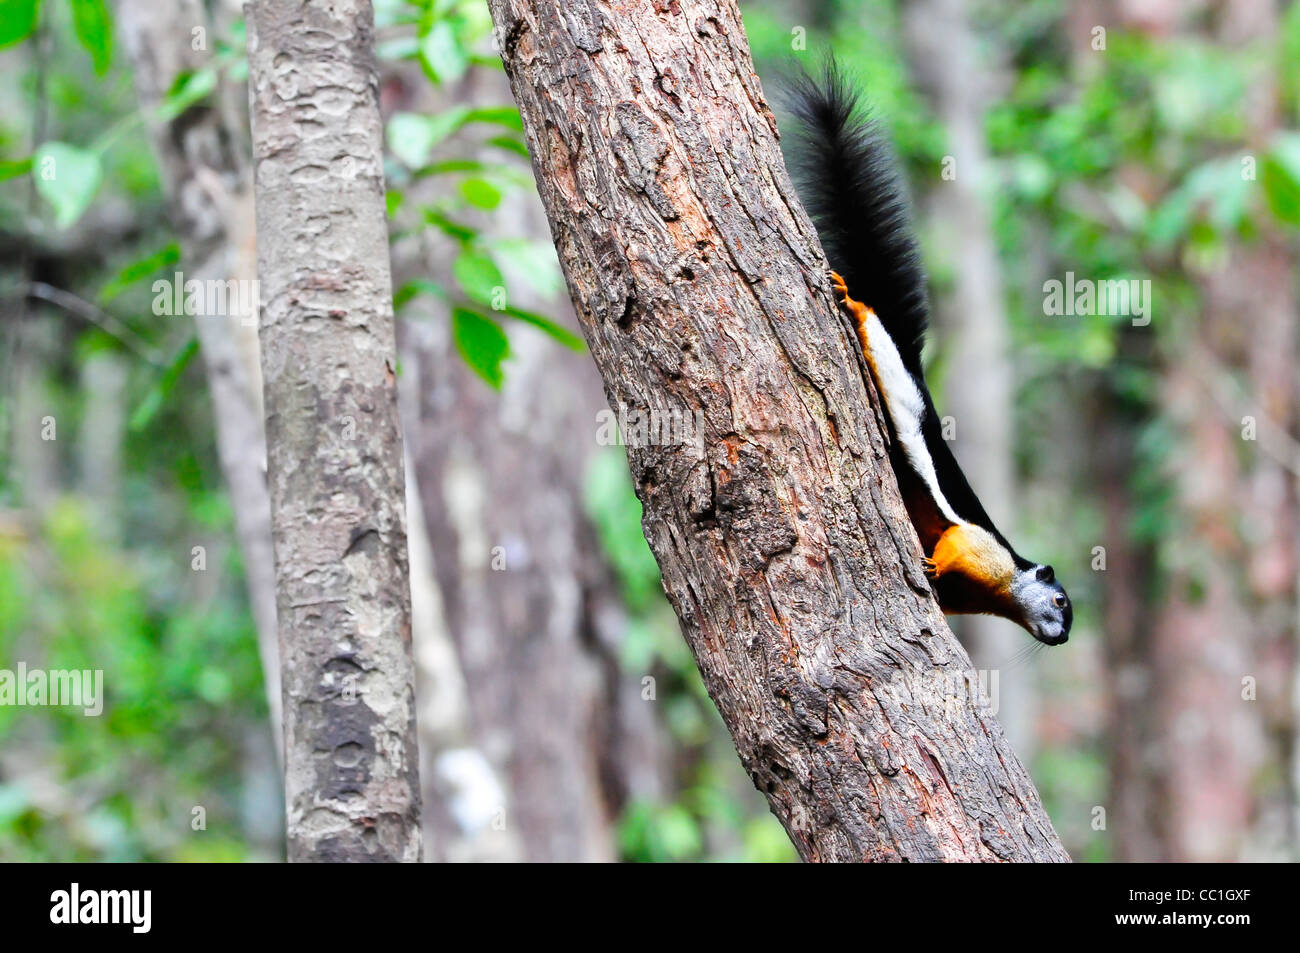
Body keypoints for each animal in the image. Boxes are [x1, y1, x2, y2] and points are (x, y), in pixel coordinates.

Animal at [785, 64, 1072, 646]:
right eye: (1058, 599)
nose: (1062, 636)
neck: (1004, 589)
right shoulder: (978, 549)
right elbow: (952, 546)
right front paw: (933, 564)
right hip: (896, 375)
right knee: (875, 327)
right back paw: (854, 300)